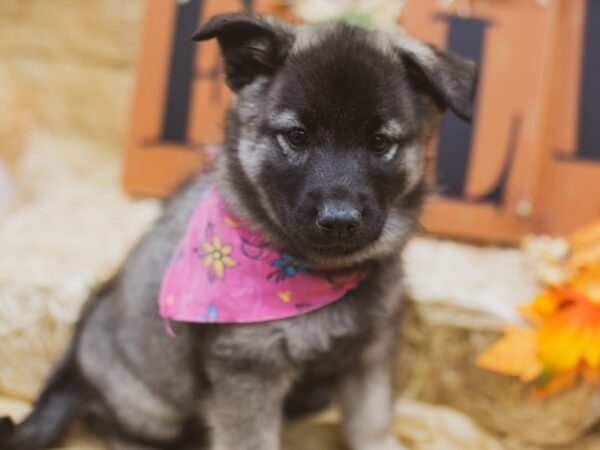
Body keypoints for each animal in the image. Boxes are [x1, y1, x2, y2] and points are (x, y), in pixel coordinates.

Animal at [1, 12, 478, 450]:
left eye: (380, 143)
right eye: (297, 136)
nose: (340, 220)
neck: (317, 273)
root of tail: (75, 370)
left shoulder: (371, 350)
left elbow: (372, 422)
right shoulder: (247, 368)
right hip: (150, 403)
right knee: (113, 425)